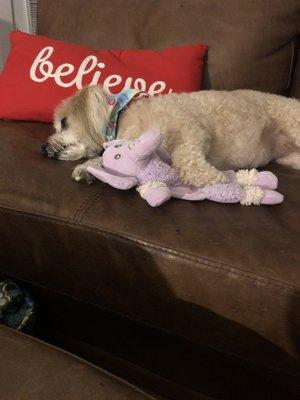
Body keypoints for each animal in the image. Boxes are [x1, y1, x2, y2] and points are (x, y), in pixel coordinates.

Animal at [42, 85, 300, 187]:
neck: (120, 119)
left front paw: (218, 179)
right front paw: (87, 169)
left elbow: (186, 161)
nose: (42, 149)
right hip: (289, 158)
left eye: (63, 123)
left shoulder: (192, 132)